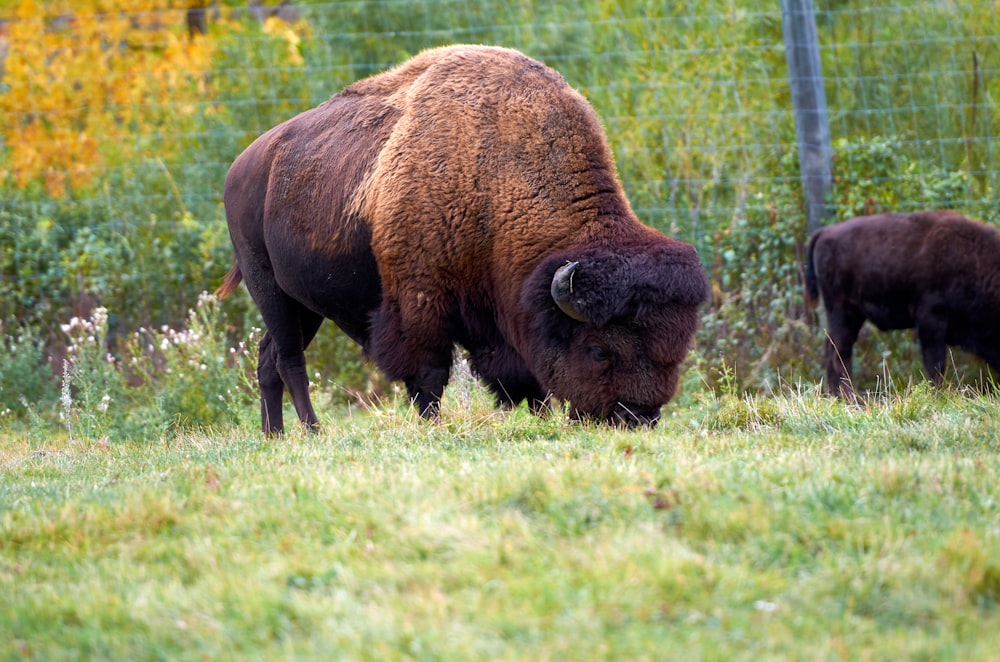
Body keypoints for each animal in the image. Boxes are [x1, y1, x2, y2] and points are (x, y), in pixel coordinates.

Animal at [217, 44, 712, 434]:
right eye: (597, 349)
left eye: (677, 348)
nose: (637, 417)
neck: (494, 178)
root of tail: (243, 164)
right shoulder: (419, 302)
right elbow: (429, 374)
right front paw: (433, 425)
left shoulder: (496, 316)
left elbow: (521, 376)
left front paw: (538, 417)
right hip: (270, 289)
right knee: (289, 360)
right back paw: (313, 431)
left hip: (304, 305)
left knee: (267, 358)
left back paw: (274, 435)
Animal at [804, 211, 1000, 400]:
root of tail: (825, 232)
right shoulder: (931, 321)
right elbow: (935, 364)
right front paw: (938, 396)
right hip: (842, 312)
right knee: (840, 350)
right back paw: (849, 397)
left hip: (853, 315)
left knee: (833, 347)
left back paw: (837, 395)